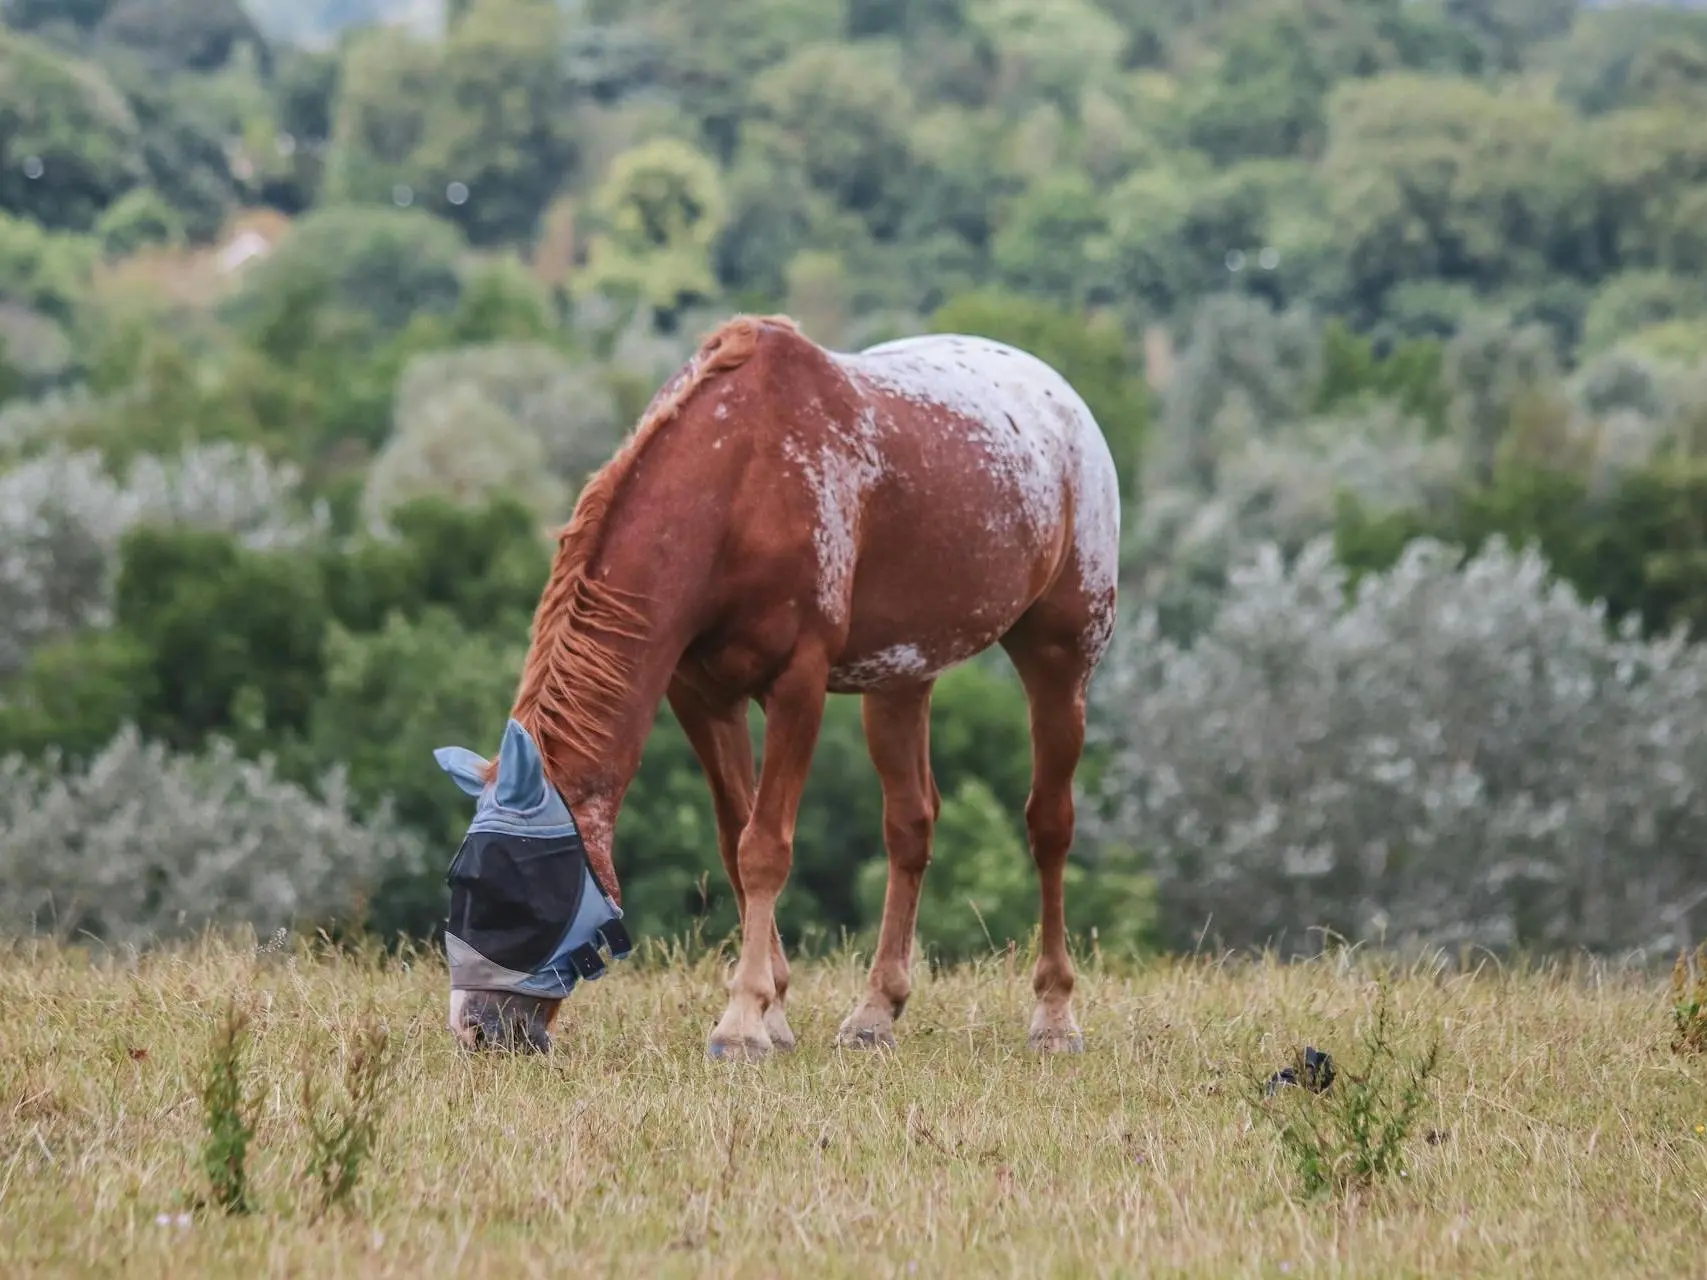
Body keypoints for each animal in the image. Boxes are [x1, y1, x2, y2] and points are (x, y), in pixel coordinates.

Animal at [433, 314, 1119, 1064]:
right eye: (459, 884)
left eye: (514, 895)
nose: (477, 1029)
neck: (739, 480)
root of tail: (1063, 401)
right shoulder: (701, 694)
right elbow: (735, 841)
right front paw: (774, 1010)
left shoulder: (799, 684)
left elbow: (764, 849)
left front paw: (741, 1024)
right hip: (900, 678)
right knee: (910, 826)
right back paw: (875, 1011)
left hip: (1060, 656)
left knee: (1049, 825)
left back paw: (1054, 1015)